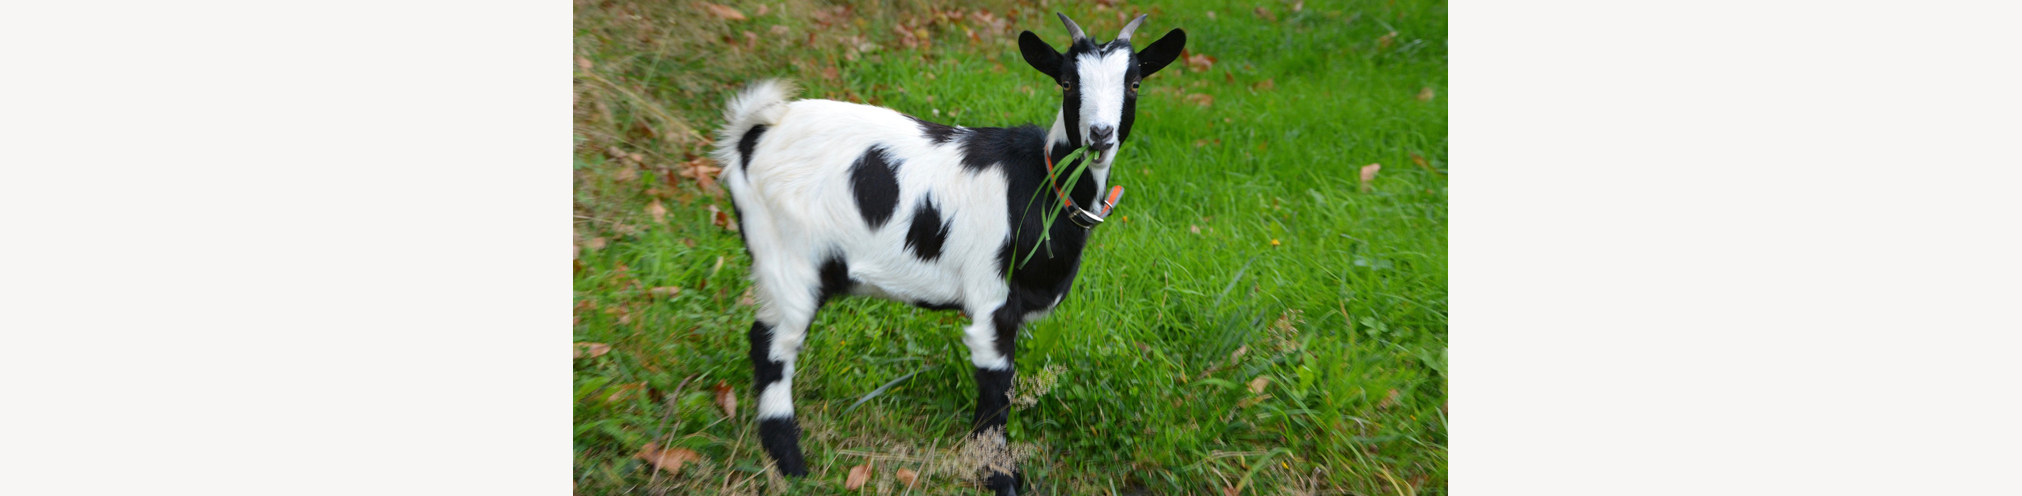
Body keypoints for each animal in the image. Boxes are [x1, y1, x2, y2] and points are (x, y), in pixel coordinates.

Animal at [711, 13, 1185, 494]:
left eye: (1135, 83)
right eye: (1068, 82)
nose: (1099, 135)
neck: (1041, 186)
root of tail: (754, 133)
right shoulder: (991, 302)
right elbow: (996, 389)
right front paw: (997, 475)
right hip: (788, 257)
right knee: (772, 346)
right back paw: (790, 464)